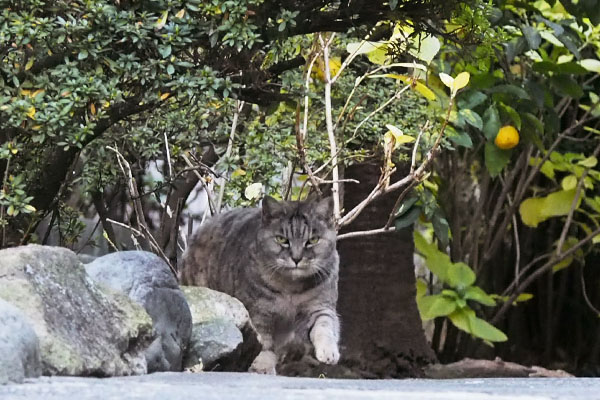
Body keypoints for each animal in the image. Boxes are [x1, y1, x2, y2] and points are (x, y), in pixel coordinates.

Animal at [180, 195, 340, 374]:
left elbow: (325, 327)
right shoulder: (259, 313)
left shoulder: (320, 307)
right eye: (282, 239)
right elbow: (264, 343)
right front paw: (262, 365)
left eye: (313, 240)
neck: (291, 288)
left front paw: (329, 352)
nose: (297, 258)